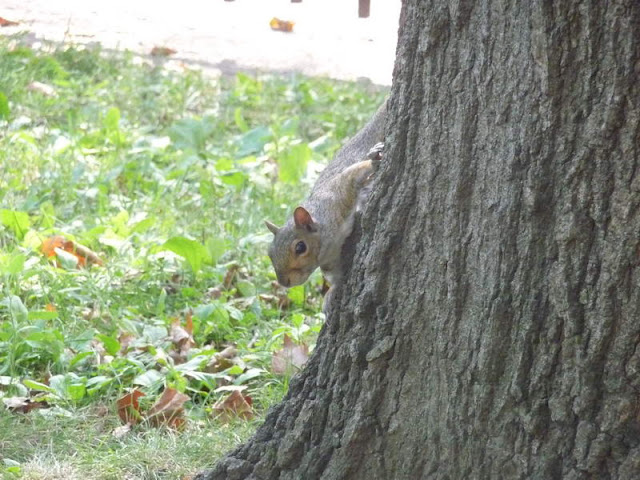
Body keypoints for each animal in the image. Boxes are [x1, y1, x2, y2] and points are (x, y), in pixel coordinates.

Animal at [264, 98, 384, 288]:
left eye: (300, 247)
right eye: (270, 253)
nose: (284, 283)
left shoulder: (339, 194)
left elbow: (354, 174)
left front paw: (372, 163)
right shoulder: (331, 261)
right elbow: (336, 278)